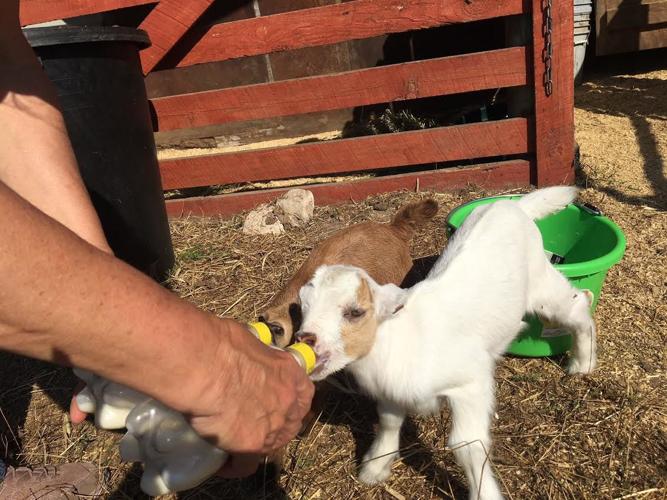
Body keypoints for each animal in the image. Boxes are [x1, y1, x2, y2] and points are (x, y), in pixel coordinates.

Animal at [295, 187, 597, 500]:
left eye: (355, 312)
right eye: (304, 305)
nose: (306, 339)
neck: (401, 339)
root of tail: (513, 206)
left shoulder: (471, 383)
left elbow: (467, 444)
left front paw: (484, 493)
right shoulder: (391, 393)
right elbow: (389, 423)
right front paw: (374, 469)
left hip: (541, 281)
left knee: (577, 305)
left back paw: (583, 363)